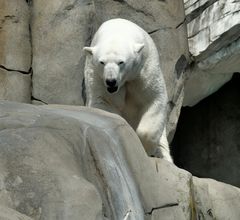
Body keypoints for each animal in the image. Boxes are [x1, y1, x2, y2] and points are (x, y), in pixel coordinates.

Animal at [83, 18, 172, 162]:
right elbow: (104, 101)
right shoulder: (97, 76)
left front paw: (146, 149)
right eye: (102, 62)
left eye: (121, 62)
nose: (111, 81)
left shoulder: (144, 70)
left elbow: (153, 98)